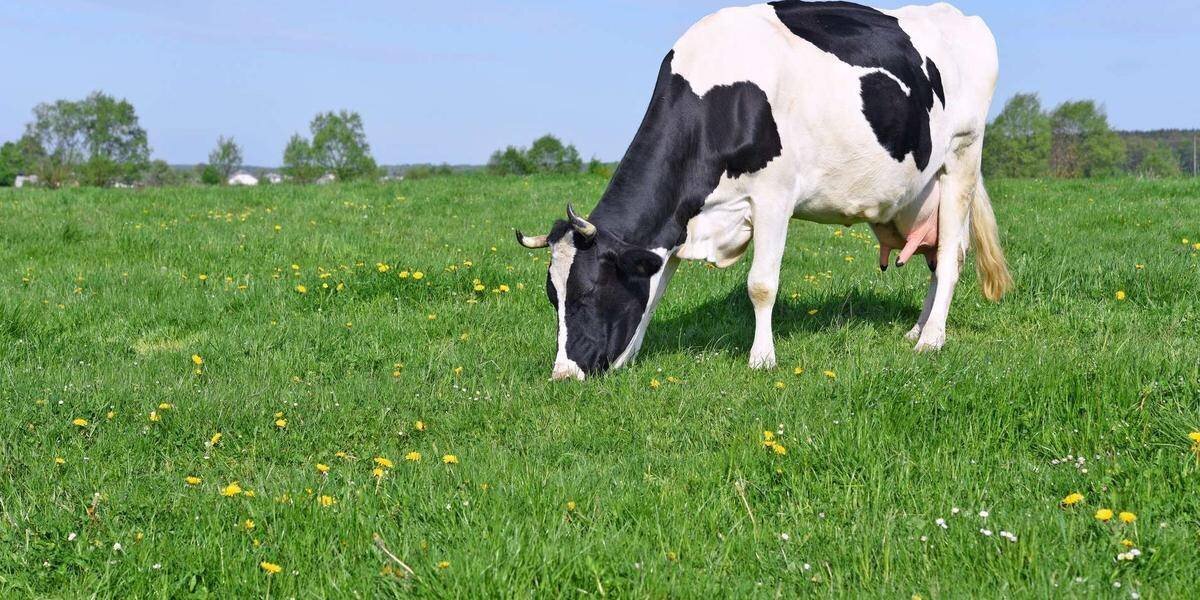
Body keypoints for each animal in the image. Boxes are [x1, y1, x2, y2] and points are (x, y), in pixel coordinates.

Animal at [516, 1, 1012, 381]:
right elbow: (654, 292)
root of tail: (960, 16)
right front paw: (632, 354)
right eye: (552, 297)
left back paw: (930, 340)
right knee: (937, 257)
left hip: (962, 155)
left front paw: (762, 359)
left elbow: (760, 285)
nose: (564, 374)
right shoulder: (677, 222)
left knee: (950, 257)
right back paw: (917, 329)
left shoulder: (775, 195)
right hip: (922, 193)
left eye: (586, 293)